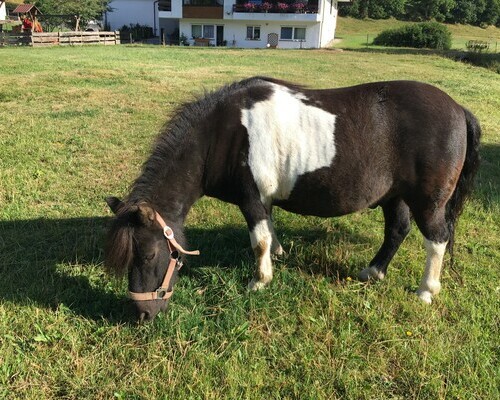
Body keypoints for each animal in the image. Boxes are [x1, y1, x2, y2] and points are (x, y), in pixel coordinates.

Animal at [105, 77, 480, 322]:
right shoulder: (264, 200)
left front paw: (259, 281)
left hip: (428, 202)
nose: (141, 314)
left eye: (149, 254)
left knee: (436, 239)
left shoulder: (251, 198)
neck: (223, 134)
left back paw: (426, 290)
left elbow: (258, 239)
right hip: (395, 195)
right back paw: (373, 272)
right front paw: (278, 254)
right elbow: (270, 230)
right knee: (397, 230)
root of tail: (457, 109)